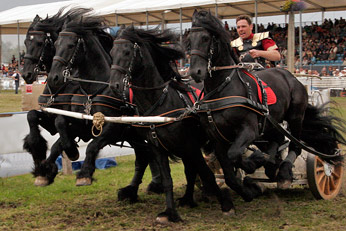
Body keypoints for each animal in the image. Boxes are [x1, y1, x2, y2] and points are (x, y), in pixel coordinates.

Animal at [45, 14, 164, 199]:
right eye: (56, 44)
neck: (93, 90)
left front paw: (85, 174)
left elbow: (92, 146)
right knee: (144, 157)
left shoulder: (113, 128)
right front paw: (50, 167)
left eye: (71, 45)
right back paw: (133, 190)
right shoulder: (81, 124)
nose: (53, 77)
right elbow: (60, 132)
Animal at [108, 26, 232, 223]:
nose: (114, 85)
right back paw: (188, 199)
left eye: (127, 52)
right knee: (190, 171)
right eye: (112, 53)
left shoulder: (190, 146)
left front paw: (225, 203)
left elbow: (206, 174)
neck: (160, 102)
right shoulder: (158, 148)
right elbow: (168, 180)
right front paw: (170, 212)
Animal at [188, 9, 344, 199]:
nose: (195, 72)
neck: (223, 88)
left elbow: (235, 154)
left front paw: (254, 163)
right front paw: (250, 187)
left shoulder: (249, 130)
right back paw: (271, 165)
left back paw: (284, 173)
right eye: (189, 40)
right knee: (277, 140)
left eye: (206, 38)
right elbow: (230, 174)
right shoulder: (217, 138)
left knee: (295, 145)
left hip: (295, 117)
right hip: (271, 123)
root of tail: (292, 77)